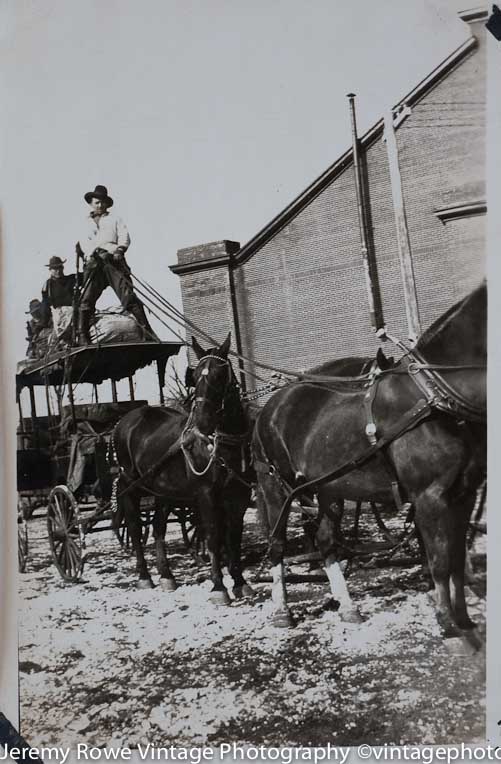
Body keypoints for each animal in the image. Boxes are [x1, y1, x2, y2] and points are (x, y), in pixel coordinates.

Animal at [114, 336, 254, 604]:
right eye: (196, 376)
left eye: (220, 374)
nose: (202, 422)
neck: (222, 443)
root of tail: (126, 420)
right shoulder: (206, 495)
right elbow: (213, 536)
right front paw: (219, 587)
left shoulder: (239, 496)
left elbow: (234, 536)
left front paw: (240, 582)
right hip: (131, 486)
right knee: (135, 528)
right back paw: (144, 576)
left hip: (163, 493)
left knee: (158, 527)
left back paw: (166, 576)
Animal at [252, 284, 486, 636]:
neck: (436, 396)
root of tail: (271, 404)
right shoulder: (429, 497)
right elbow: (440, 560)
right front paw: (446, 620)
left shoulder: (464, 494)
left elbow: (457, 558)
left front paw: (464, 619)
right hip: (276, 488)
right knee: (277, 544)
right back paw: (282, 611)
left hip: (328, 489)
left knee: (325, 540)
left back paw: (348, 607)